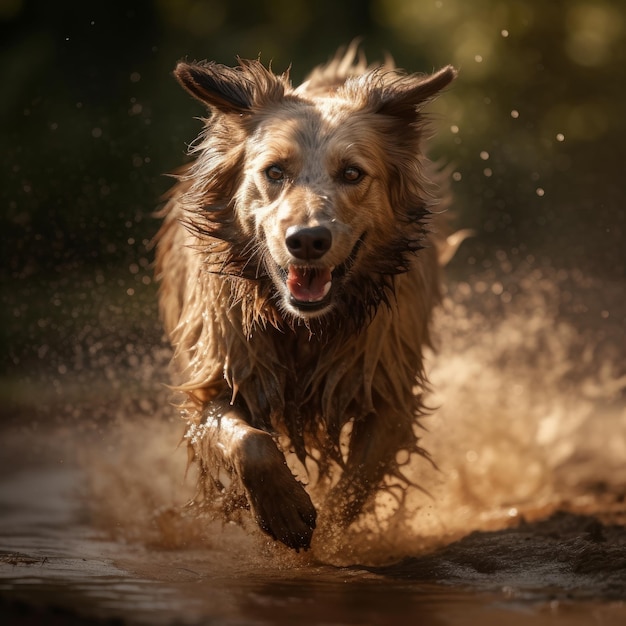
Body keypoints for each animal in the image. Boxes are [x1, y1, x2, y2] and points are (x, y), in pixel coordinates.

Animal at [156, 44, 456, 548]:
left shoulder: (388, 389)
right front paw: (283, 509)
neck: (302, 328)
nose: (308, 240)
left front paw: (328, 538)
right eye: (274, 171)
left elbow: (353, 488)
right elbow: (250, 442)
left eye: (352, 173)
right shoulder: (214, 376)